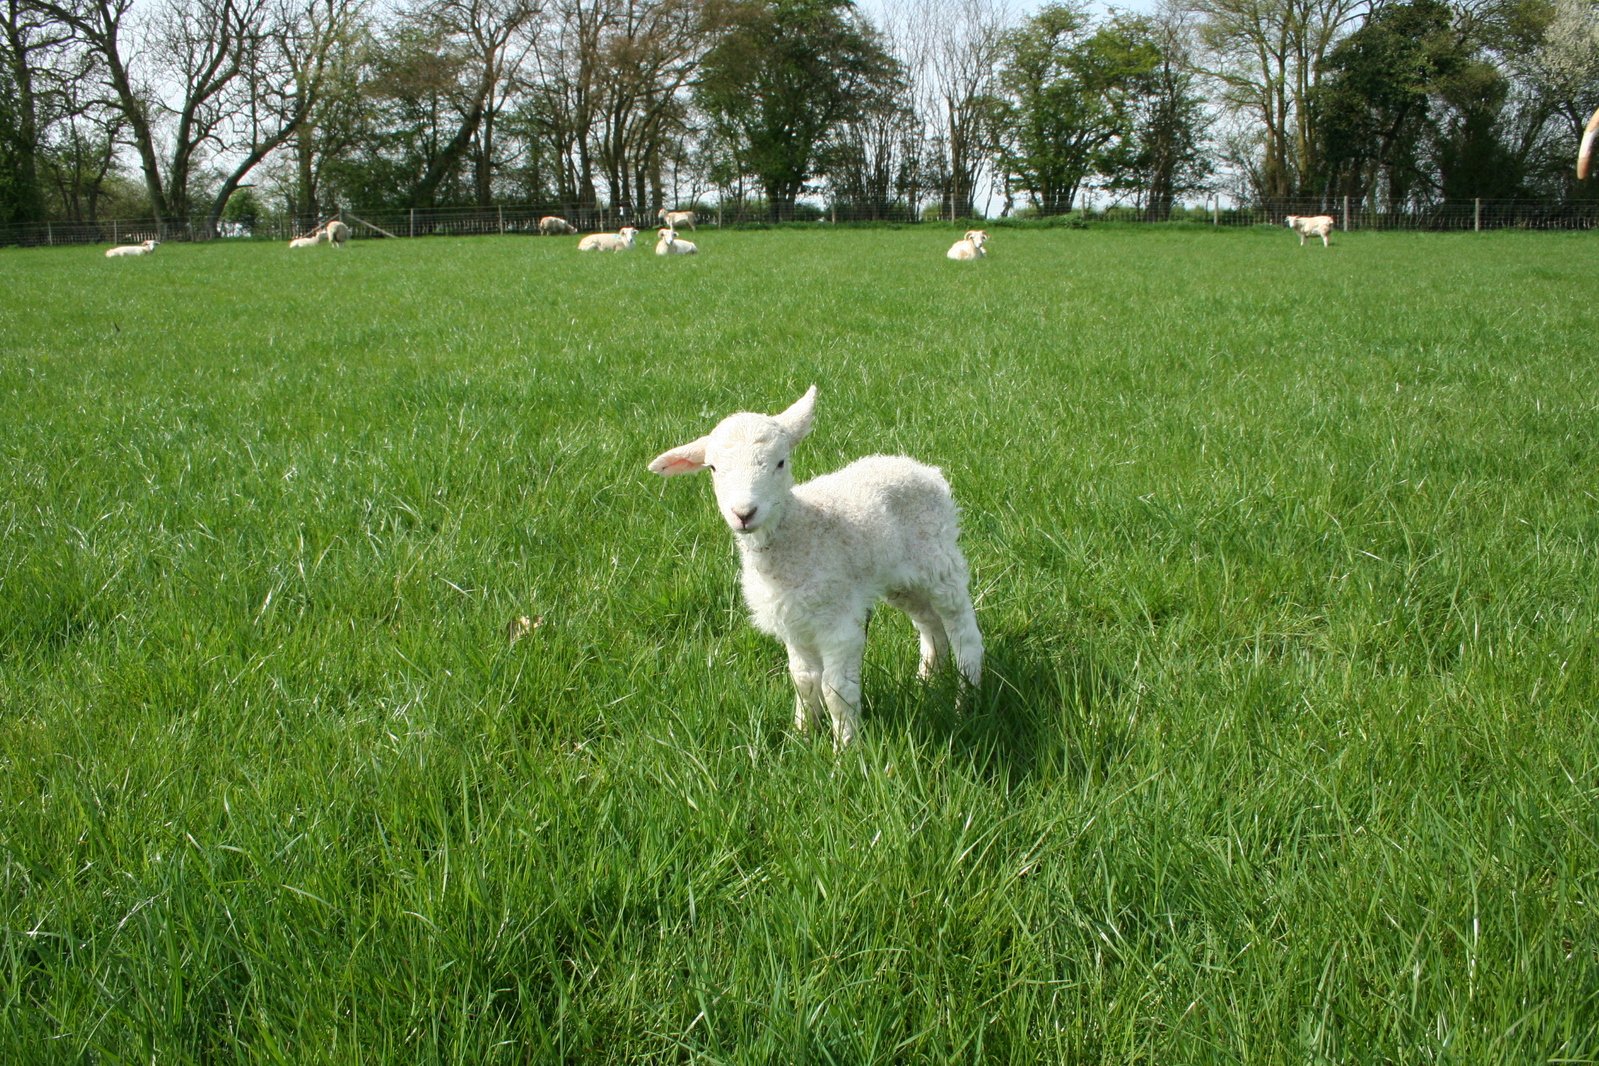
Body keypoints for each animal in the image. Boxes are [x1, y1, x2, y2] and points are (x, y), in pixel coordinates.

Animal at [652, 385, 984, 751]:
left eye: (780, 462)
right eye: (712, 467)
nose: (744, 513)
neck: (797, 531)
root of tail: (924, 470)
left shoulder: (837, 622)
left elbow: (835, 690)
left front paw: (845, 751)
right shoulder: (794, 624)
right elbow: (804, 681)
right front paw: (802, 737)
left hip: (939, 561)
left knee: (964, 632)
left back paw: (966, 701)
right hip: (902, 580)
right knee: (929, 626)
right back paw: (927, 682)